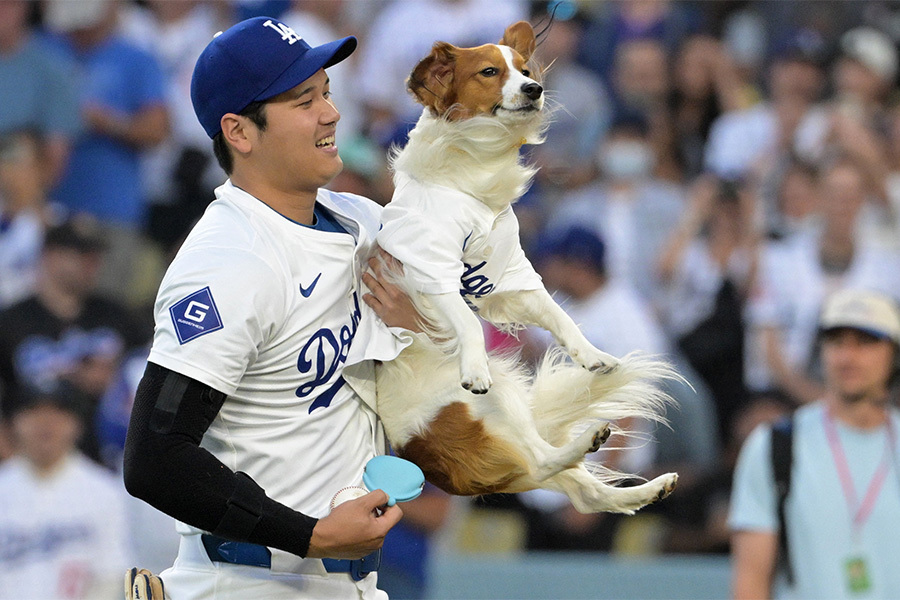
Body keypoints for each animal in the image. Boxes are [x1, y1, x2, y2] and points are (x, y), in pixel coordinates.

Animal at [370, 21, 676, 512]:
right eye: (489, 71)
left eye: (526, 70)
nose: (535, 90)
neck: (472, 176)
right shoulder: (431, 270)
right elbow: (468, 324)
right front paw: (474, 367)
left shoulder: (507, 275)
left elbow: (559, 315)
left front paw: (593, 356)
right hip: (475, 407)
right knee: (543, 462)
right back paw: (589, 440)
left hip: (508, 403)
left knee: (582, 488)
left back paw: (649, 486)